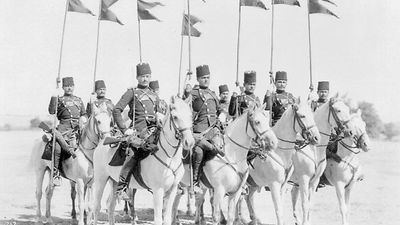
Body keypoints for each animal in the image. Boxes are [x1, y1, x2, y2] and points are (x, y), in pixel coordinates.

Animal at [91, 96, 197, 225]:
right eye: (175, 117)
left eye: (190, 116)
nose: (189, 142)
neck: (170, 157)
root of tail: (102, 142)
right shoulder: (158, 190)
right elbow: (158, 219)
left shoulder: (172, 190)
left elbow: (167, 218)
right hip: (101, 179)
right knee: (97, 207)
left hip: (114, 181)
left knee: (110, 206)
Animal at [238, 97, 322, 225]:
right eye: (302, 116)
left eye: (312, 115)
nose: (317, 138)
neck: (279, 152)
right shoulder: (275, 185)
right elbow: (278, 209)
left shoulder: (283, 185)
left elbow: (281, 208)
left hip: (253, 183)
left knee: (247, 197)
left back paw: (253, 219)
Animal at [290, 96, 352, 225]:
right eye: (338, 110)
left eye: (348, 109)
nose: (350, 131)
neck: (313, 148)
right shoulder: (304, 179)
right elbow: (305, 205)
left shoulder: (314, 181)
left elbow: (310, 205)